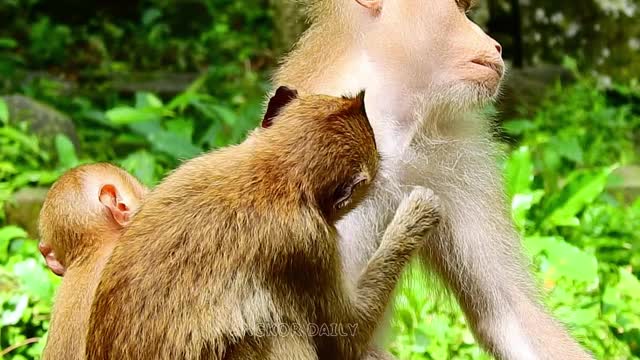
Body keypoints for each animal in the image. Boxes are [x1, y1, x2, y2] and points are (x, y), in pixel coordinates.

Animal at [272, 0, 592, 360]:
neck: (387, 129)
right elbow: (341, 336)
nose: (496, 45)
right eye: (460, 8)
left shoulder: (456, 154)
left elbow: (511, 314)